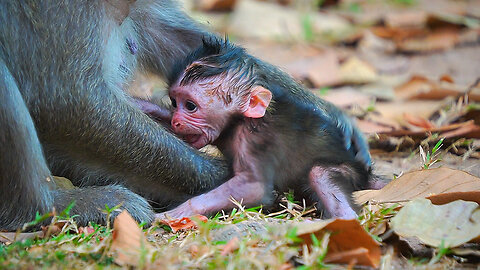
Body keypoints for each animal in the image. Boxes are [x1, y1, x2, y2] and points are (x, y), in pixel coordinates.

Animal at [162, 38, 378, 219]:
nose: (176, 122)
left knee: (320, 175)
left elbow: (254, 188)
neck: (238, 123)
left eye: (190, 106)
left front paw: (176, 213)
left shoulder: (254, 142)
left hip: (348, 170)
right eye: (174, 102)